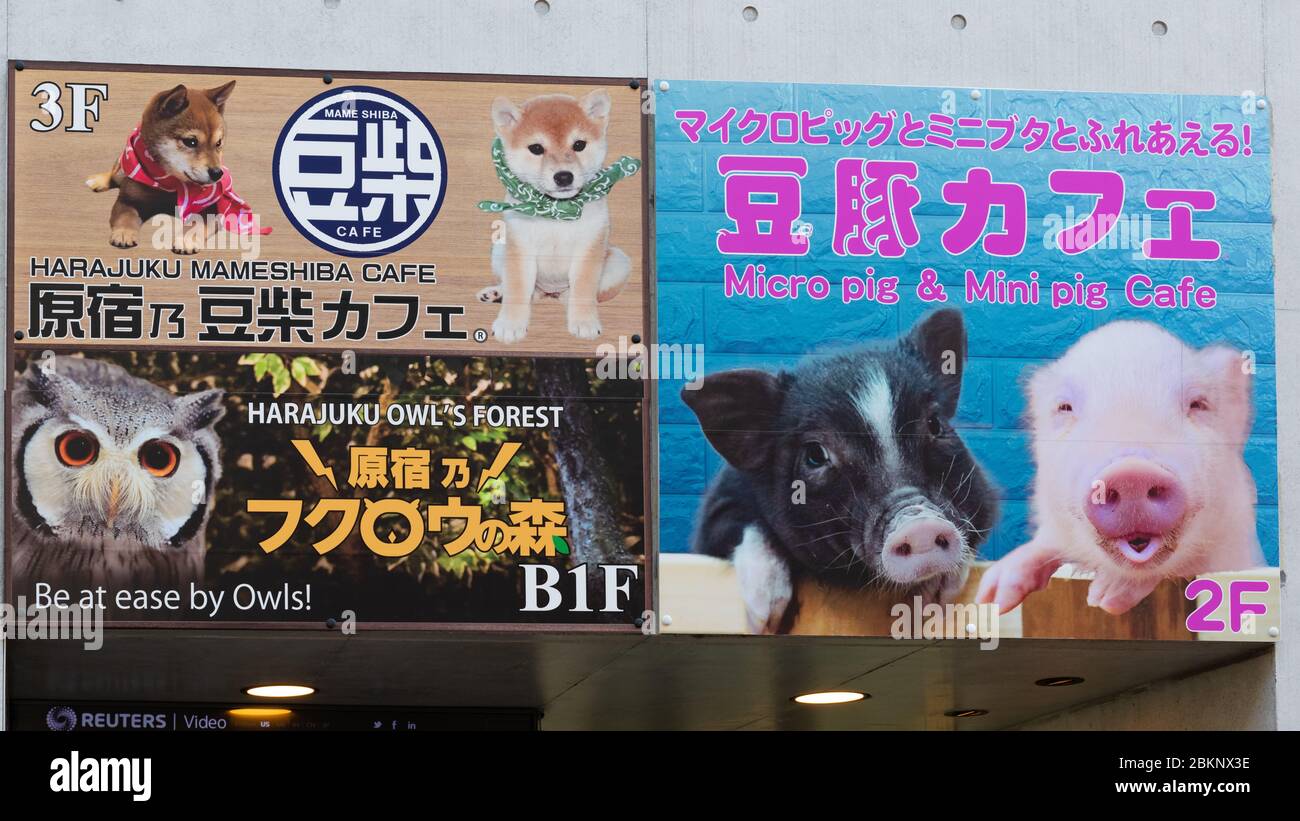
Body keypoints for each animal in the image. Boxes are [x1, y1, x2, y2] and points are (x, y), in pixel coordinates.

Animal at [483, 90, 634, 342]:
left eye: (579, 144)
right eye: (536, 148)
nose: (564, 177)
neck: (556, 210)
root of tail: (550, 292)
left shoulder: (589, 245)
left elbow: (584, 287)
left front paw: (584, 321)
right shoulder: (520, 245)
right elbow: (517, 287)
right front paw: (510, 324)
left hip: (618, 260)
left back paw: (566, 299)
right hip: (500, 248)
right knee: (526, 292)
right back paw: (496, 293)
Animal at [686, 309, 998, 633]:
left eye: (935, 424)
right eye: (815, 455)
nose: (920, 525)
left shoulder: (983, 498)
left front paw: (932, 599)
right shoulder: (719, 509)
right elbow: (749, 527)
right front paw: (764, 619)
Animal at [977, 320, 1263, 615]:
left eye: (1198, 404)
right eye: (1064, 407)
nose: (1132, 474)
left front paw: (1103, 599)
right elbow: (1043, 544)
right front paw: (990, 598)